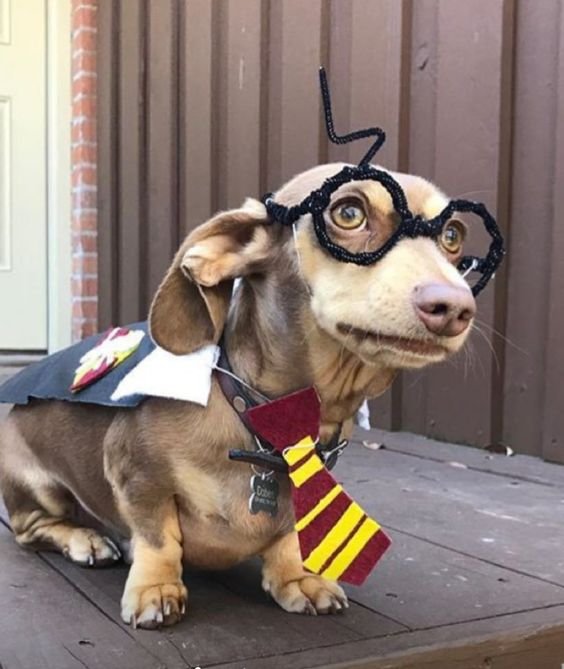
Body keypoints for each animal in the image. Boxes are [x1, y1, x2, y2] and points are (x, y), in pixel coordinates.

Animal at [0, 162, 476, 628]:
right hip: (36, 485)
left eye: (453, 235)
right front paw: (156, 587)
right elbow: (158, 537)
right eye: (348, 212)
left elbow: (289, 536)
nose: (455, 308)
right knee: (31, 528)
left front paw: (297, 577)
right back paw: (87, 539)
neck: (272, 422)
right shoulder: (135, 476)